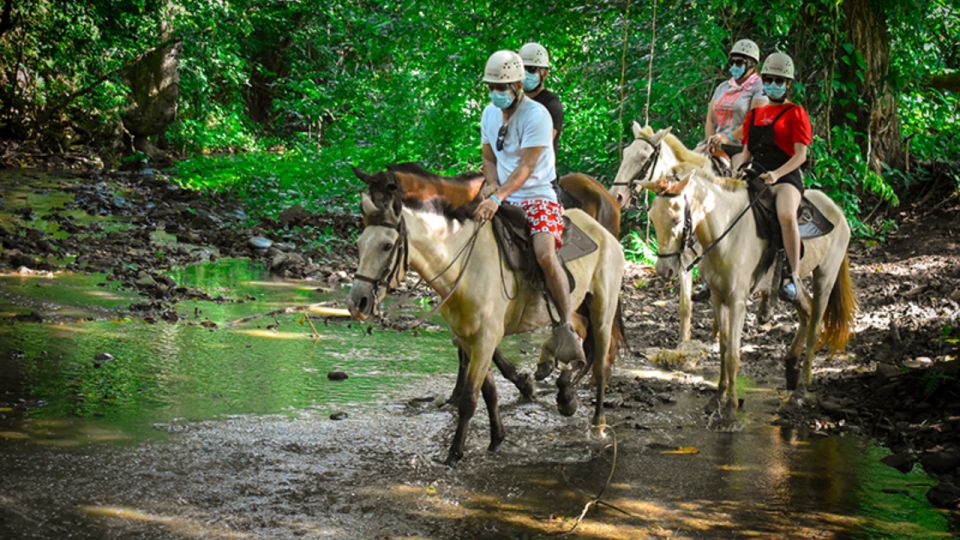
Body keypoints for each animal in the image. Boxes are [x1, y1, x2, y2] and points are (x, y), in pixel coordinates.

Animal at [344, 166, 624, 464]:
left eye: (387, 246)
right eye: (359, 244)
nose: (357, 302)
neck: (465, 266)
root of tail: (605, 234)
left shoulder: (485, 340)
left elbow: (470, 399)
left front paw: (454, 454)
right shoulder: (469, 338)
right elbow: (489, 392)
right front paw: (497, 438)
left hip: (602, 309)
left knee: (601, 361)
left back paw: (597, 424)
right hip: (576, 307)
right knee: (578, 335)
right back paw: (564, 389)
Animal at [636, 167, 856, 424]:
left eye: (676, 220)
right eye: (653, 218)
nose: (664, 270)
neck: (726, 235)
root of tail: (837, 210)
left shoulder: (737, 302)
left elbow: (733, 354)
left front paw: (731, 408)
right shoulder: (718, 299)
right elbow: (723, 349)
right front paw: (717, 399)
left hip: (825, 277)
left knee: (815, 326)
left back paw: (800, 391)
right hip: (793, 284)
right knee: (807, 311)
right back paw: (790, 368)